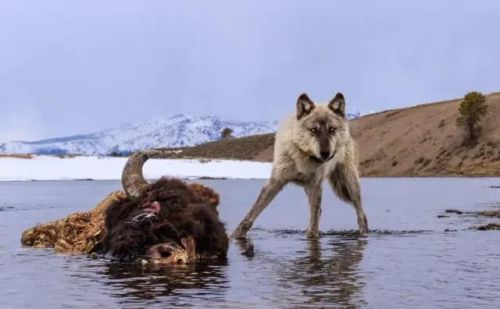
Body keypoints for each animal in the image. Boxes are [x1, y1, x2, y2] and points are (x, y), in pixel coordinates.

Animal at [230, 92, 368, 238]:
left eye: (332, 129)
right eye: (313, 130)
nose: (325, 153)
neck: (303, 157)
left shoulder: (315, 186)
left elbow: (314, 223)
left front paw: (312, 236)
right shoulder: (276, 182)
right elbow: (252, 213)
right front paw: (234, 235)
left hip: (350, 183)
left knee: (361, 215)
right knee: (319, 212)